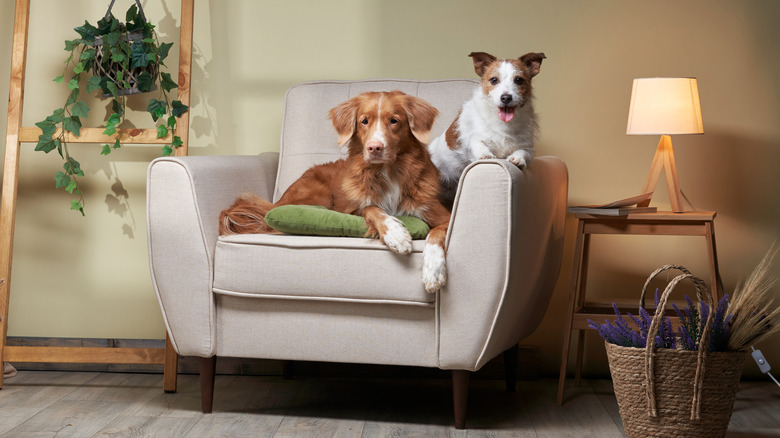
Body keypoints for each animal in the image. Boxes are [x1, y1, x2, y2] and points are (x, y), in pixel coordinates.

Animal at [430, 51, 544, 204]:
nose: (506, 97)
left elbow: (523, 152)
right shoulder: (475, 138)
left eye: (519, 80)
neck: (504, 123)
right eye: (494, 80)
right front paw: (485, 155)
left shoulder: (528, 148)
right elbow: (479, 145)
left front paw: (517, 159)